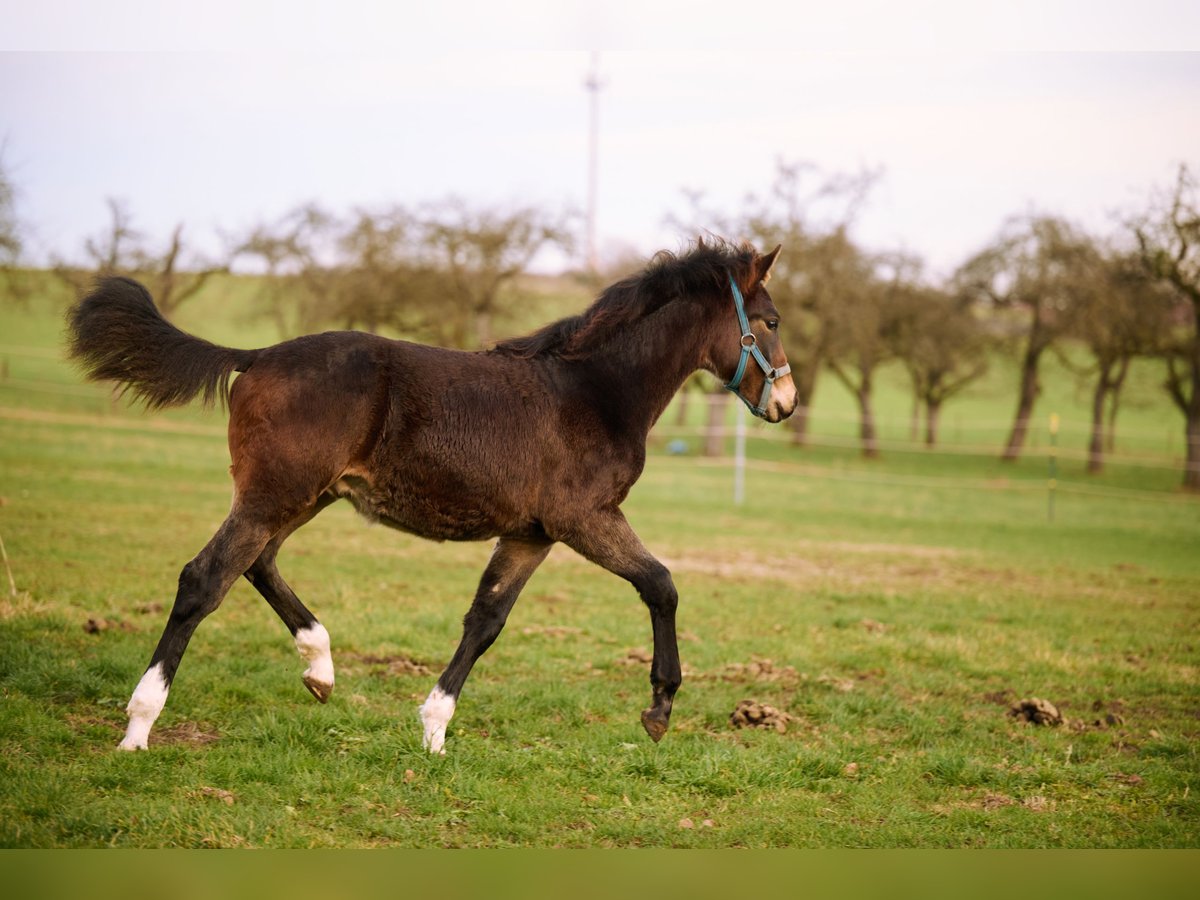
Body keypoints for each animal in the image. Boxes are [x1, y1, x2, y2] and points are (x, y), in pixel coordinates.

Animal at [65, 240, 796, 753]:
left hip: (303, 495)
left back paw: (321, 667)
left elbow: (485, 621)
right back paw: (139, 725)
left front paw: (434, 730)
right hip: (276, 493)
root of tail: (257, 356)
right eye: (770, 320)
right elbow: (661, 585)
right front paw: (659, 709)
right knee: (204, 578)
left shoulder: (531, 533)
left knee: (257, 563)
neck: (593, 391)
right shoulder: (585, 519)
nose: (786, 402)